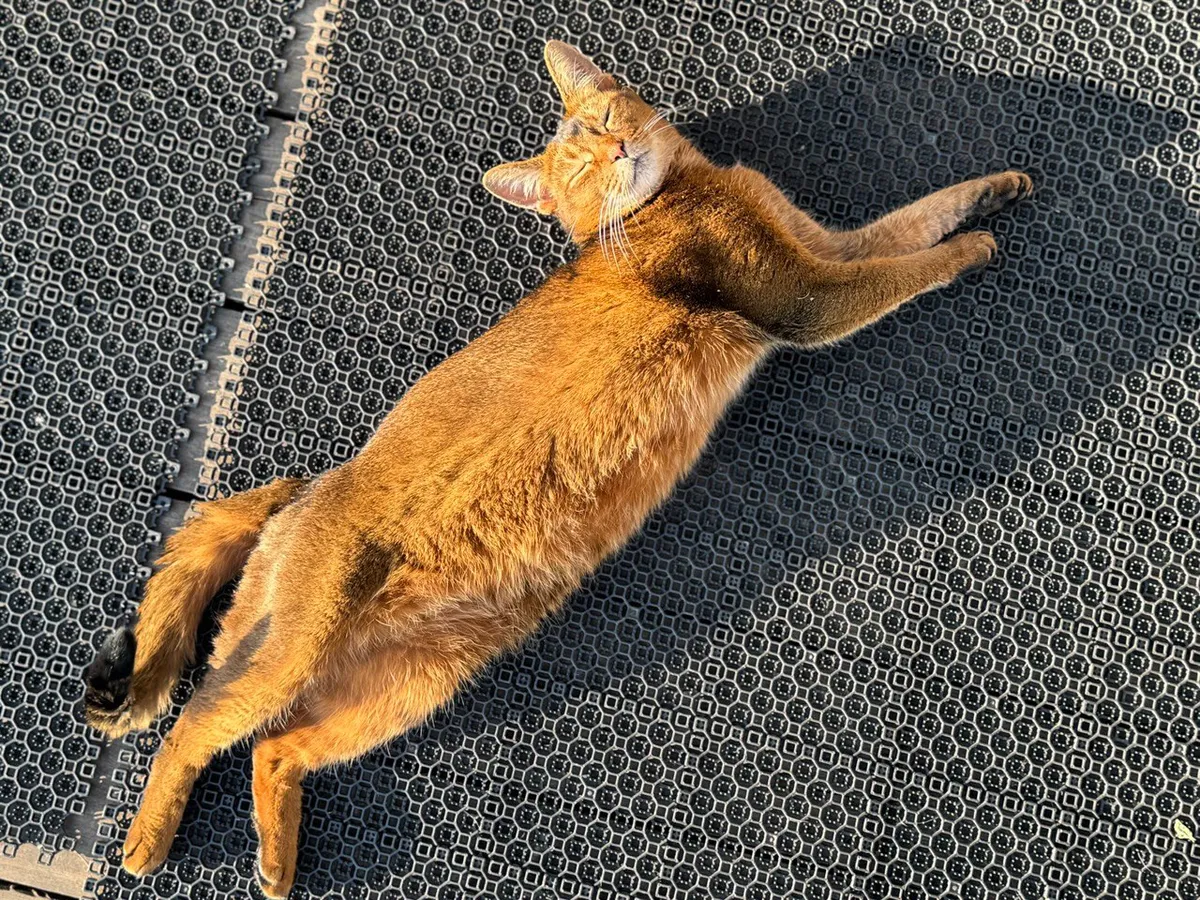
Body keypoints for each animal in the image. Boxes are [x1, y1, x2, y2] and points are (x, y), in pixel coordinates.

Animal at [84, 40, 1031, 897]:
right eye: (578, 160)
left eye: (607, 115)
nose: (616, 152)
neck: (683, 191)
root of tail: (301, 490)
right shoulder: (803, 299)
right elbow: (905, 265)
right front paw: (976, 247)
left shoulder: (817, 247)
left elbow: (911, 219)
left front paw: (994, 189)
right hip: (293, 645)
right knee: (196, 723)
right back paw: (147, 843)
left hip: (411, 682)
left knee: (276, 751)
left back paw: (276, 866)